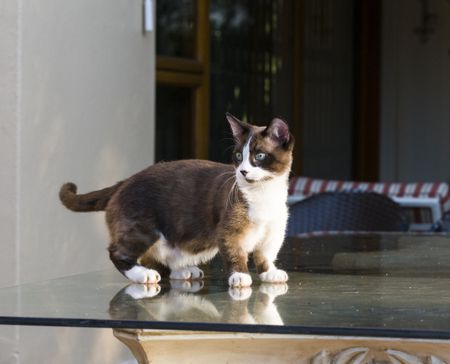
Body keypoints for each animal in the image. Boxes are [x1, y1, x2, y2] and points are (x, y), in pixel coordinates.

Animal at [58, 114, 294, 288]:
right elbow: (235, 253)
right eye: (238, 156)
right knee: (119, 252)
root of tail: (125, 180)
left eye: (260, 156)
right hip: (142, 228)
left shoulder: (274, 232)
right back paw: (143, 275)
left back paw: (183, 270)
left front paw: (270, 273)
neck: (264, 193)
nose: (243, 171)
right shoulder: (228, 231)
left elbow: (266, 255)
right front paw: (240, 276)